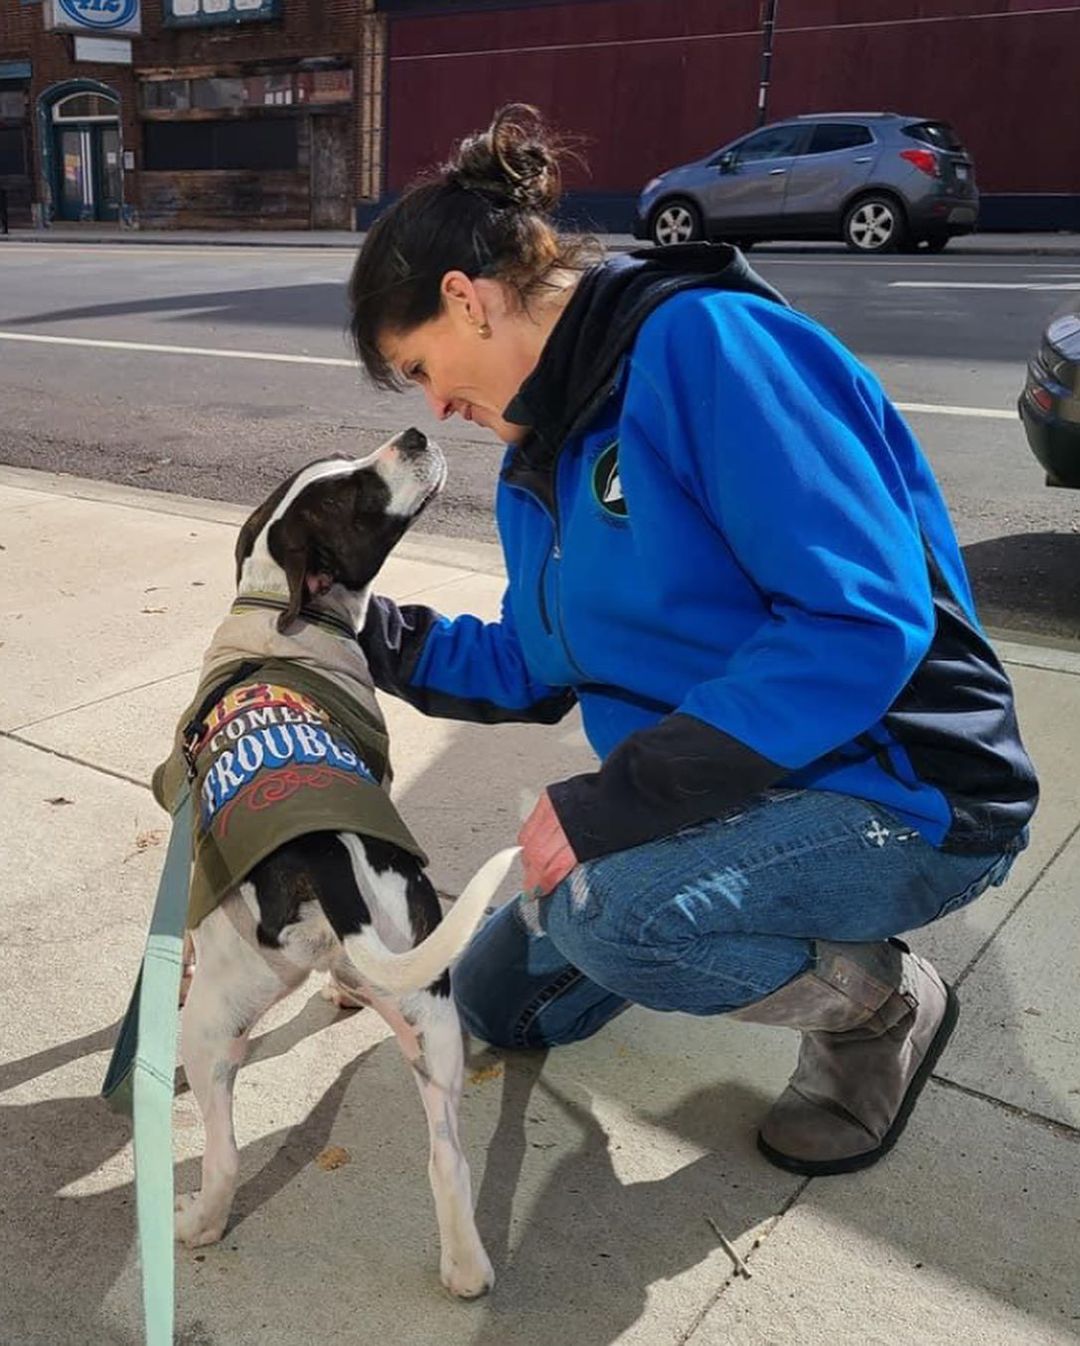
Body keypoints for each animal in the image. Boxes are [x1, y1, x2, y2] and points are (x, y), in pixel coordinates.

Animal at [170, 430, 514, 1292]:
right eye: (356, 490)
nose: (415, 434)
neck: (277, 614)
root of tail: (327, 853)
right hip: (435, 1022)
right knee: (448, 1159)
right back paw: (466, 1268)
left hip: (210, 1022)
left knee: (224, 1156)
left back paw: (198, 1223)